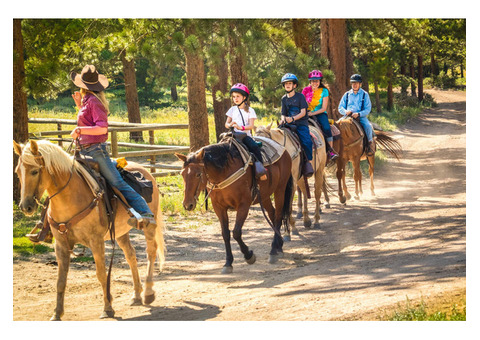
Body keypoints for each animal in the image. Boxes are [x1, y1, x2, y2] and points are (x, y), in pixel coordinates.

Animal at [13, 139, 167, 320]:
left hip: (148, 226)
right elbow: (60, 280)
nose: (26, 206)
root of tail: (147, 173)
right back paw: (136, 295)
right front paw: (57, 313)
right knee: (131, 255)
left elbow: (101, 274)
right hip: (120, 232)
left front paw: (107, 308)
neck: (70, 198)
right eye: (17, 172)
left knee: (151, 251)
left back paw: (148, 292)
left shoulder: (96, 241)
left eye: (35, 171)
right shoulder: (61, 245)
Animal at [175, 138, 292, 274]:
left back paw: (273, 251)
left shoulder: (243, 204)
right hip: (265, 195)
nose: (187, 204)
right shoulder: (218, 207)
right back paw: (279, 247)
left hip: (280, 189)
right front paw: (228, 263)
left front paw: (249, 256)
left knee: (278, 216)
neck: (224, 171)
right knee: (272, 214)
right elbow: (225, 234)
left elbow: (236, 232)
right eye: (182, 174)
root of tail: (284, 150)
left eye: (198, 174)